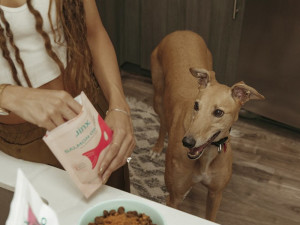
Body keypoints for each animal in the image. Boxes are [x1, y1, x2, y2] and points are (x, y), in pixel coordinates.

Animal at [150, 30, 264, 221]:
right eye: (196, 106)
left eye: (218, 112)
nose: (187, 142)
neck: (207, 155)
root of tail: (182, 31)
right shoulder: (174, 198)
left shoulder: (215, 194)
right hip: (158, 97)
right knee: (163, 124)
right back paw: (157, 148)